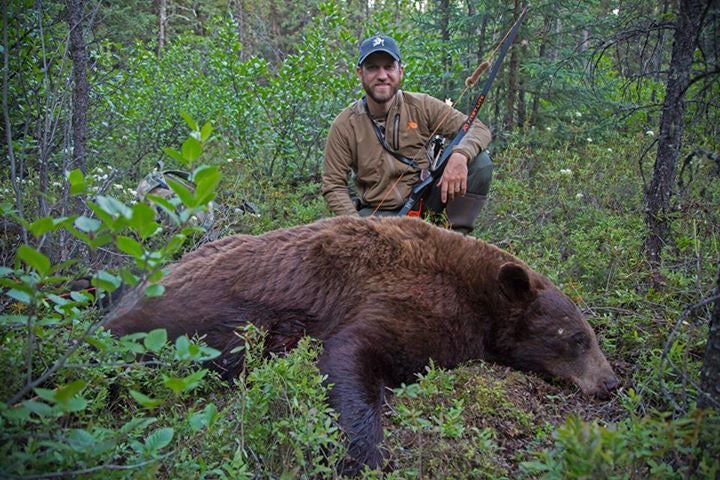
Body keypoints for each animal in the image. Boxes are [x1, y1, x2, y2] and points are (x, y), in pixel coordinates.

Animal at [105, 216, 620, 470]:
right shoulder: (396, 300)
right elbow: (346, 356)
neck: (473, 291)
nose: (612, 382)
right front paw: (365, 456)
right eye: (578, 338)